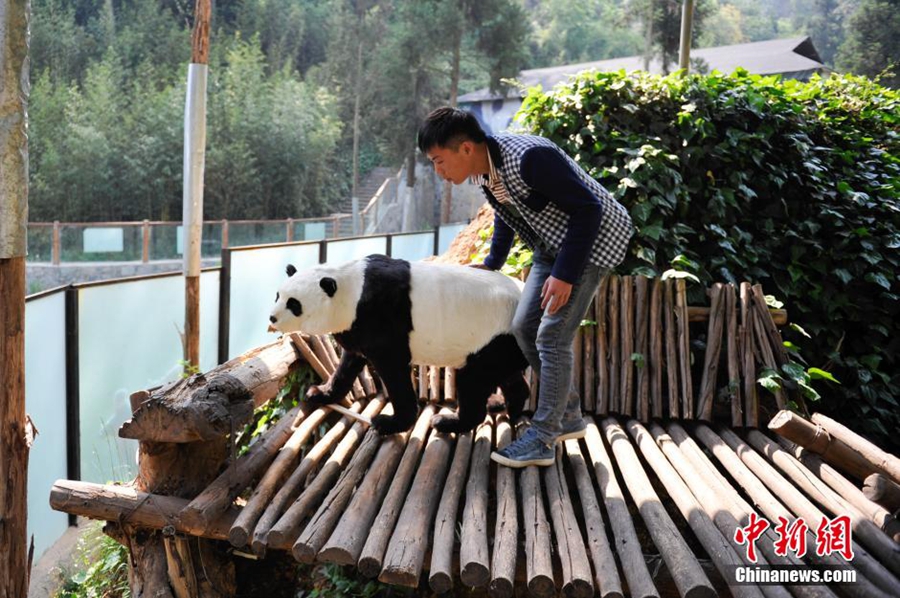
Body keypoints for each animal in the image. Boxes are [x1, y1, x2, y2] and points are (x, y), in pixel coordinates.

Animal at [270, 254, 532, 436]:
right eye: (277, 295)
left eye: (294, 304)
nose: (272, 318)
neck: (351, 289)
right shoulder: (355, 327)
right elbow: (348, 363)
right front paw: (320, 392)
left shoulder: (382, 317)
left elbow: (393, 370)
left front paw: (390, 423)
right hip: (503, 340)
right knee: (505, 374)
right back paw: (506, 405)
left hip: (494, 333)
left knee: (474, 379)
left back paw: (450, 422)